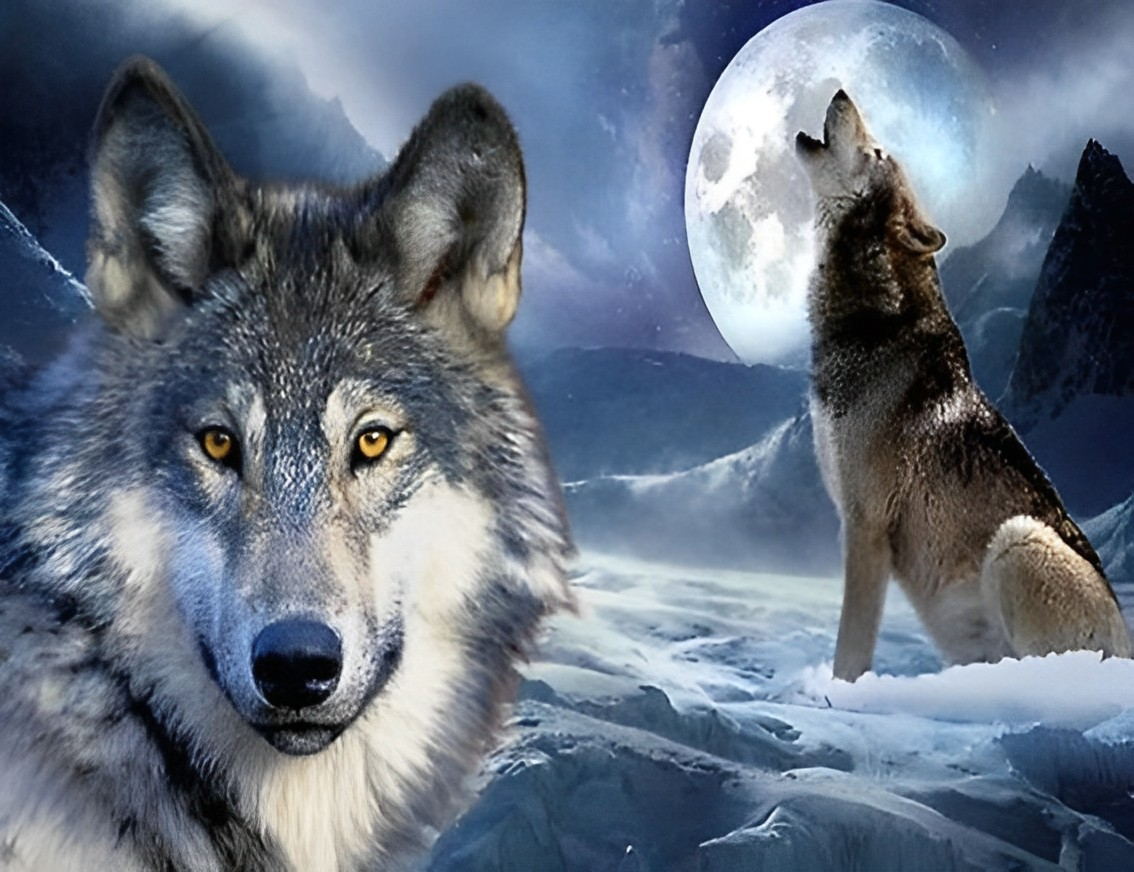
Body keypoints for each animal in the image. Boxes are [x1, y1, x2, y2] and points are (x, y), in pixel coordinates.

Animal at [796, 90, 1130, 683]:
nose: (840, 91)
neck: (871, 325)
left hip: (1018, 539)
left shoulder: (865, 527)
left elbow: (849, 650)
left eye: (877, 151)